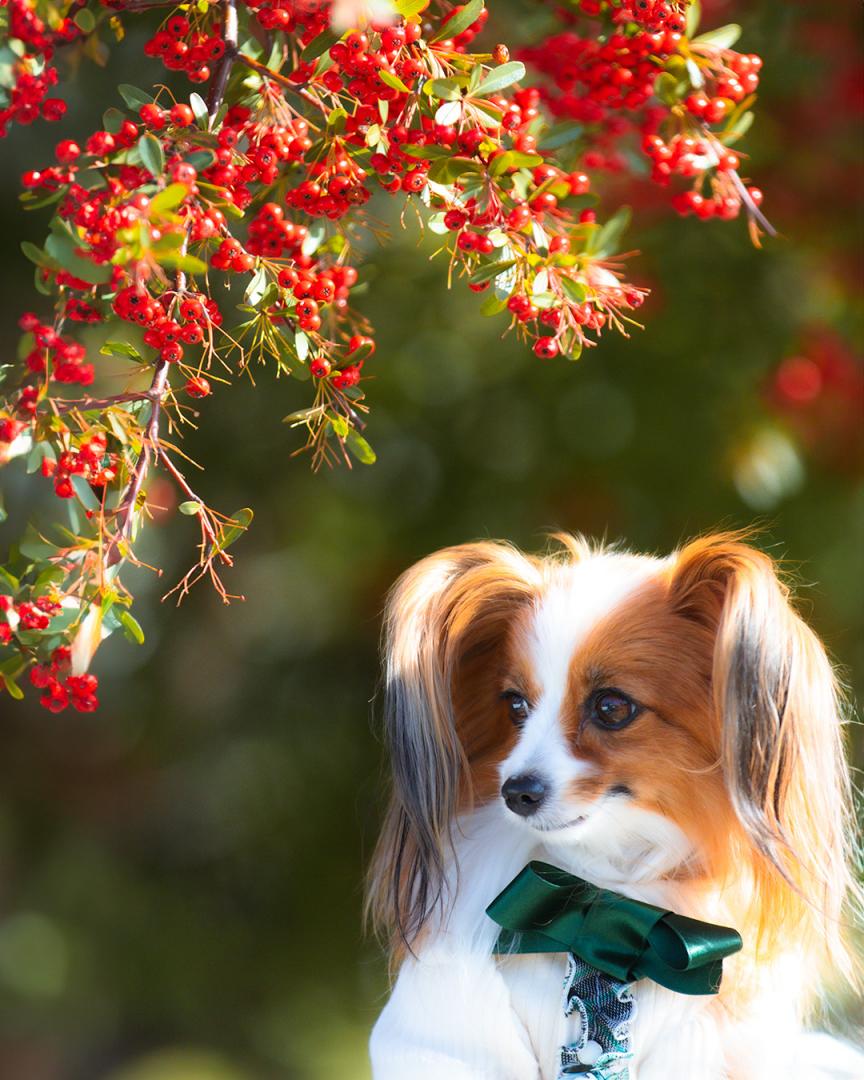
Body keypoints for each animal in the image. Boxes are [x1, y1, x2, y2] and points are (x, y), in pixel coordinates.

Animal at [367, 533, 859, 1080]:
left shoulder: (693, 1045)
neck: (605, 894)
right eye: (515, 705)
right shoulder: (455, 1032)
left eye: (612, 707)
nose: (516, 792)